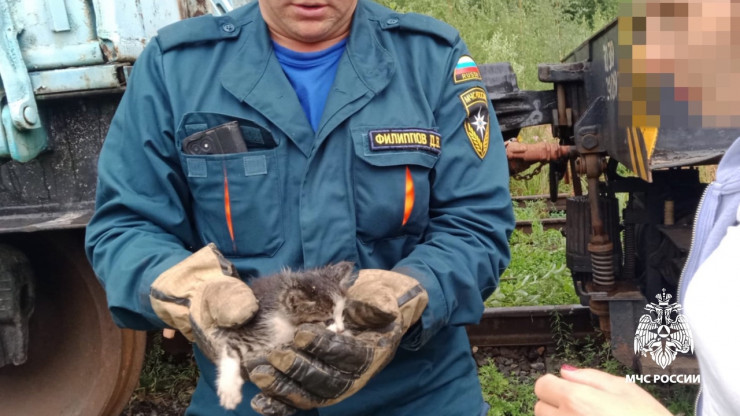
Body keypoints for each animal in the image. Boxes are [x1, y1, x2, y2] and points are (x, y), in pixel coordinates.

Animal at [201, 262, 354, 412]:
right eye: (328, 321)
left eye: (342, 314)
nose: (341, 330)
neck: (285, 322)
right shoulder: (249, 330)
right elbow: (230, 350)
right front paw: (229, 391)